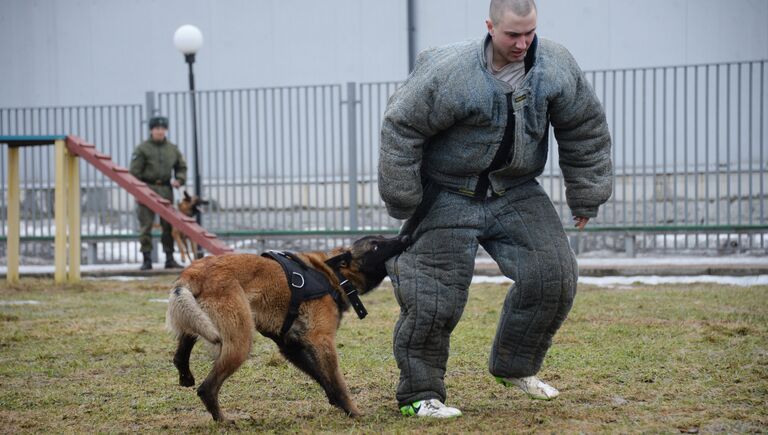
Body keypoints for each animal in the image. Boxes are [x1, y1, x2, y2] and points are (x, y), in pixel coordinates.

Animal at [166, 235, 412, 422]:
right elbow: (337, 381)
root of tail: (193, 272)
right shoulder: (322, 341)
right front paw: (354, 412)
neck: (332, 275)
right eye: (376, 246)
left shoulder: (291, 346)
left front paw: (336, 402)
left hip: (198, 320)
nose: (404, 237)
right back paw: (223, 421)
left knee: (181, 352)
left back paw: (185, 376)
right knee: (207, 388)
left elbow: (322, 377)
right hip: (240, 343)